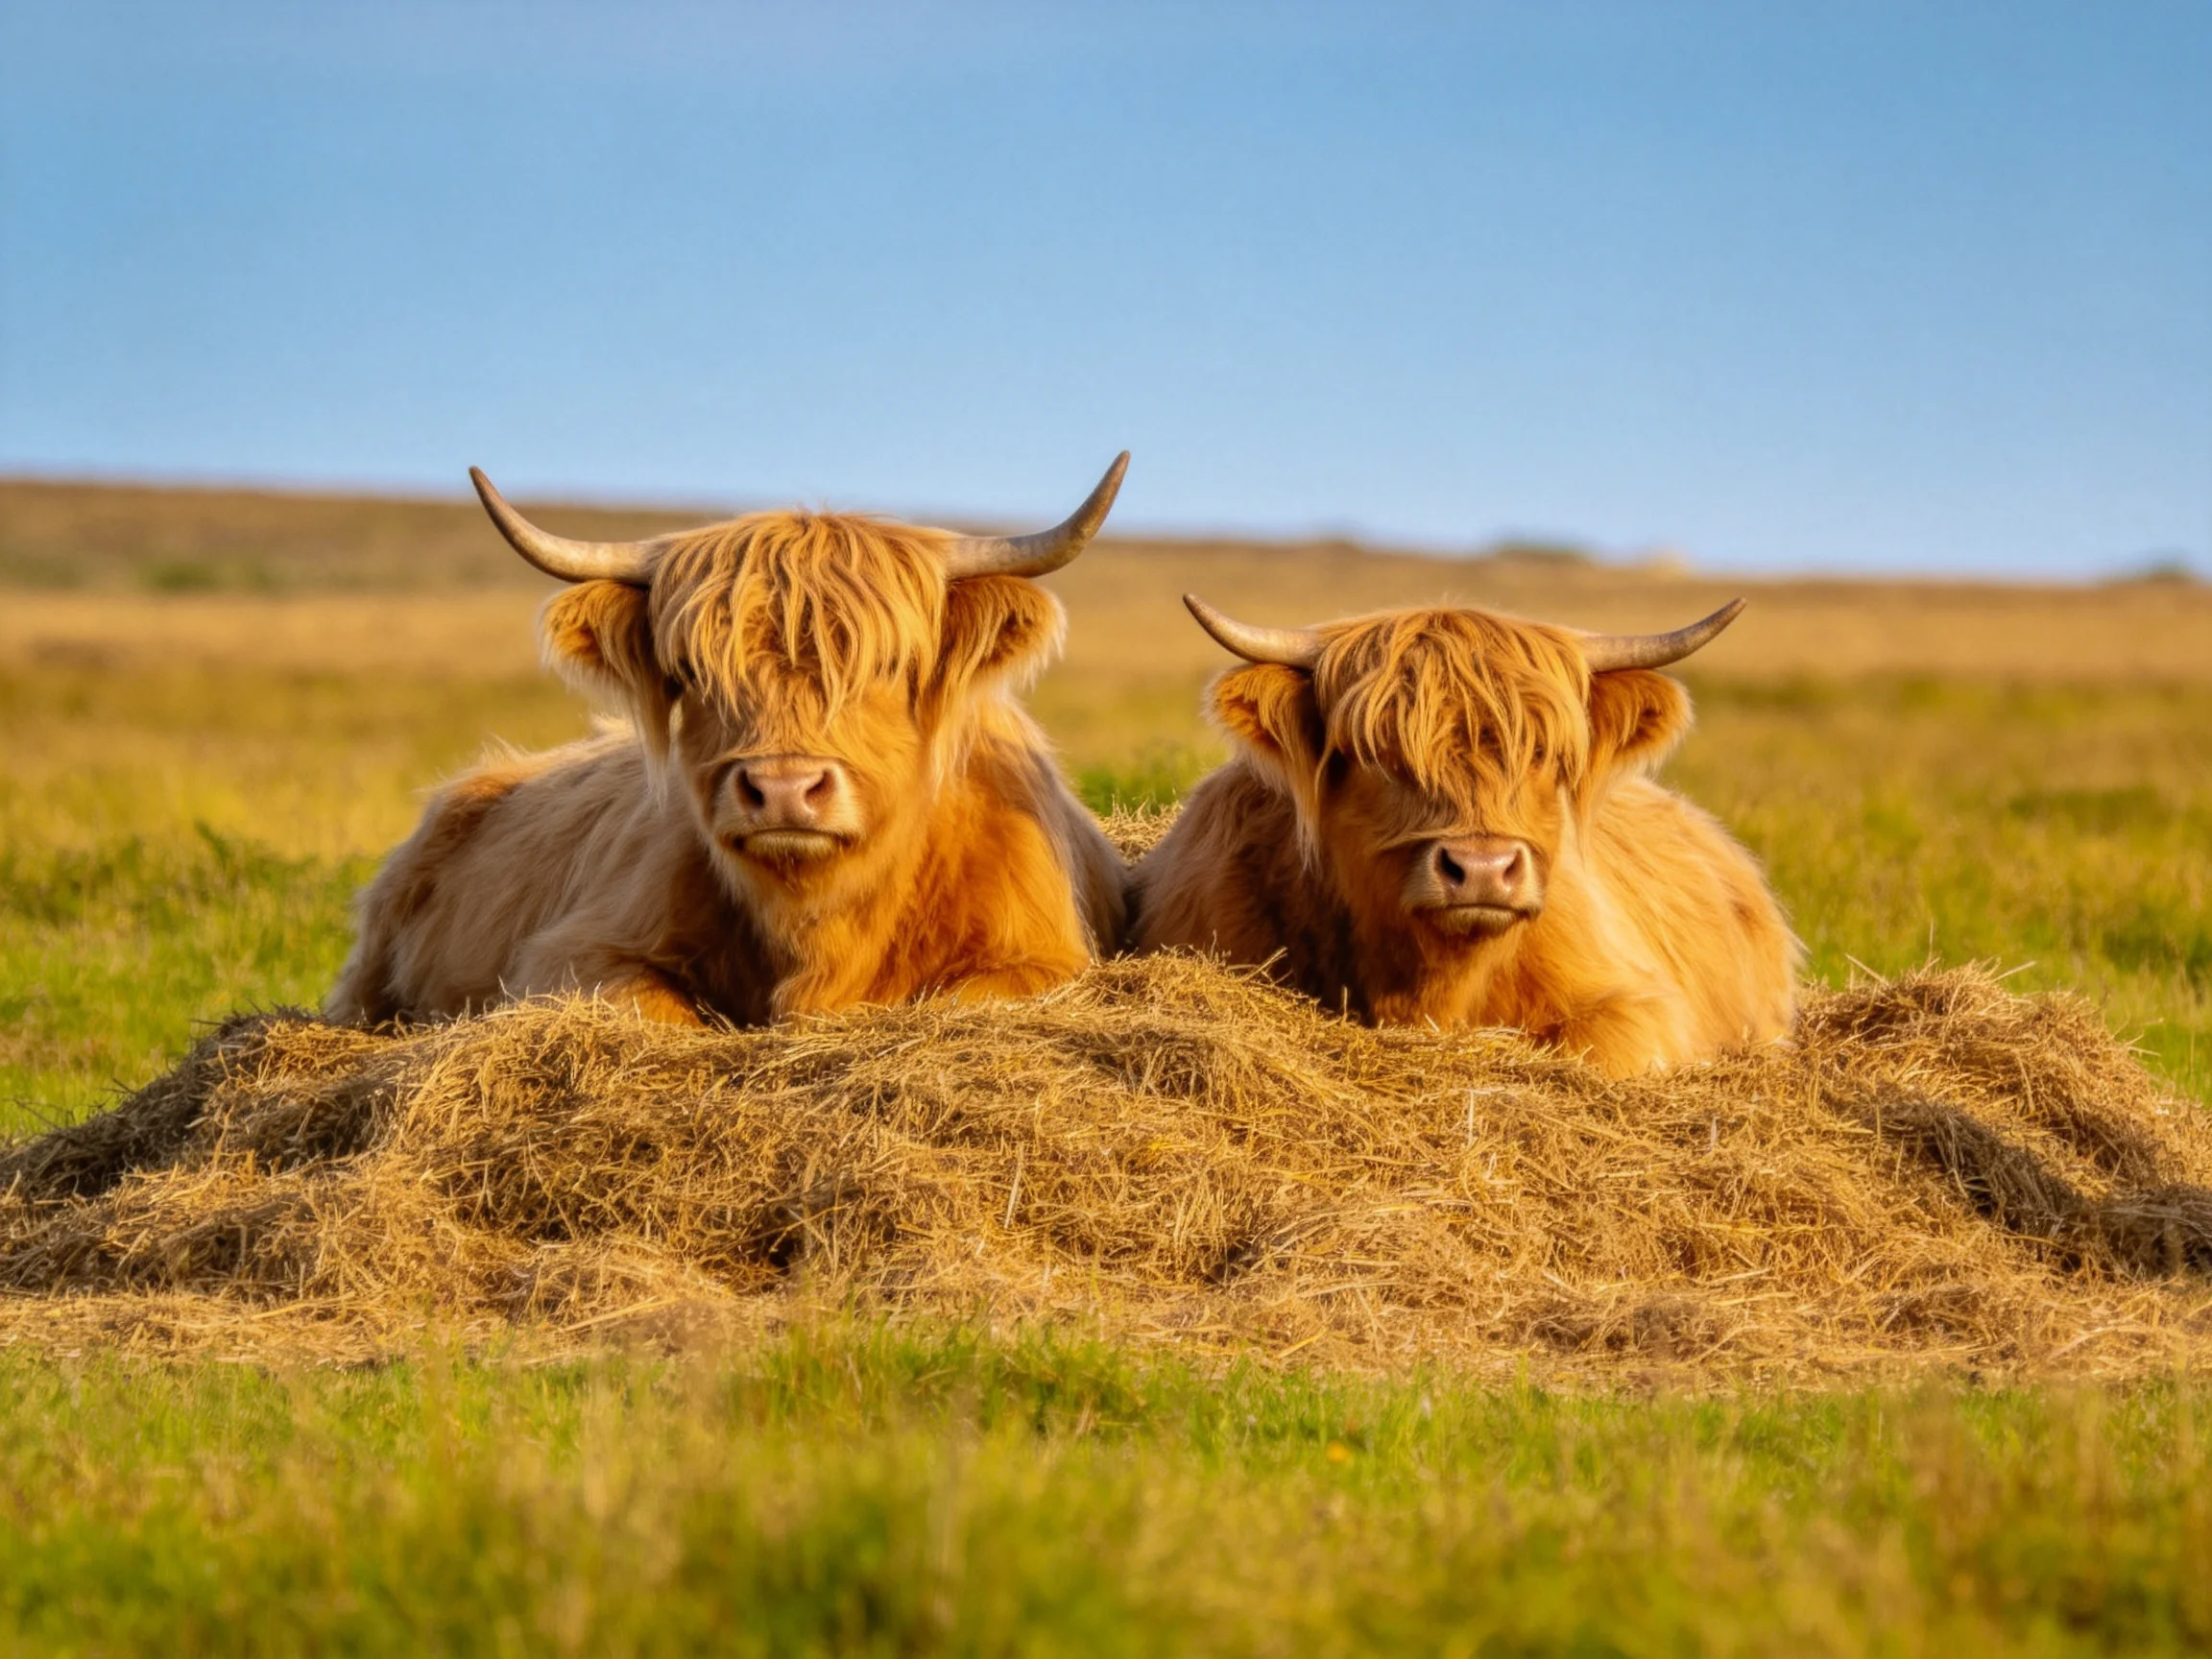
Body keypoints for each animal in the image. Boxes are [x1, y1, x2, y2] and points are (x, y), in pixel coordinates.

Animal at [327, 457, 1132, 1028]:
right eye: (690, 672)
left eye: (889, 666)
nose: (782, 790)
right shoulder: (574, 951)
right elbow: (662, 1009)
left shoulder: (1040, 957)